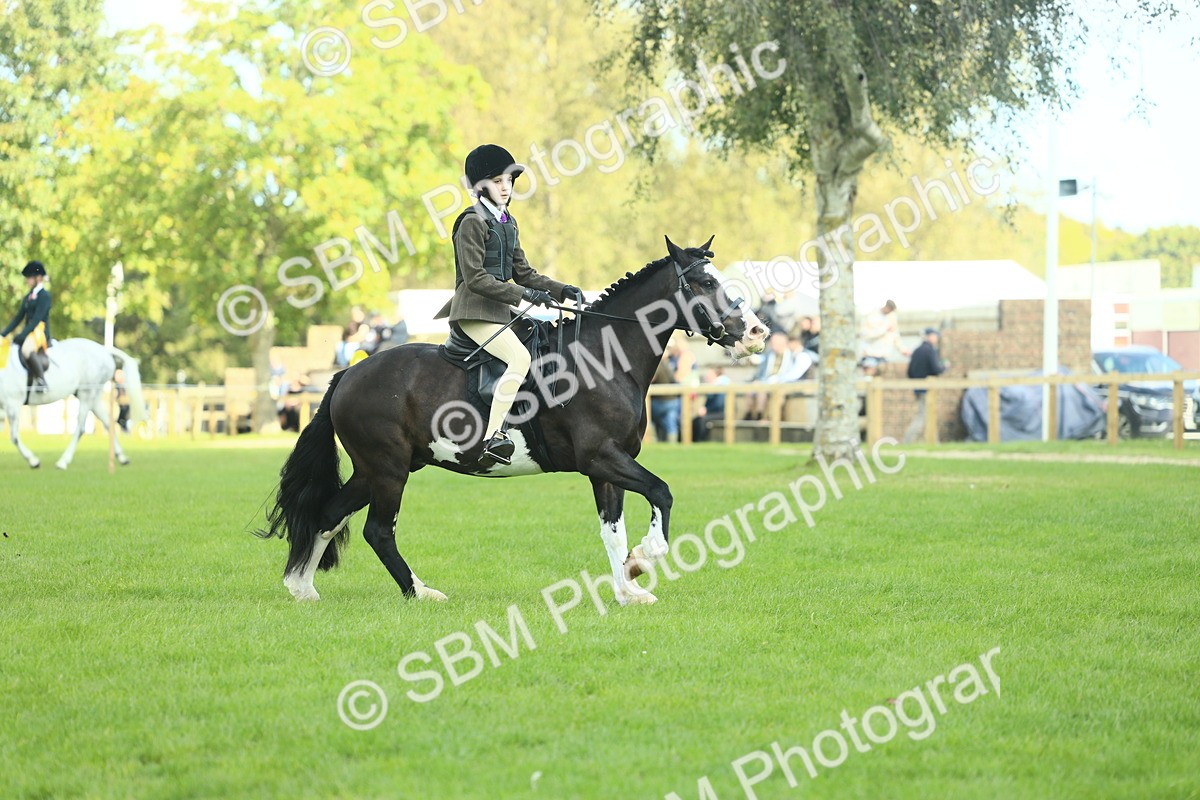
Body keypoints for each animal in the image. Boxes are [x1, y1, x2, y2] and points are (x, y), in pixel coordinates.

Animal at [1, 338, 148, 469]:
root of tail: (104, 350)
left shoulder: (12, 404)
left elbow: (14, 437)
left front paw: (33, 461)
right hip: (93, 397)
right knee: (108, 422)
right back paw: (122, 457)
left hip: (86, 394)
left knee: (81, 428)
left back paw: (63, 462)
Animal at [258, 237, 769, 605]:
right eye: (703, 282)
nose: (757, 333)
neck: (603, 359)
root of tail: (349, 373)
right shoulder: (601, 457)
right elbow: (661, 493)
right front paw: (645, 560)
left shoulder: (608, 467)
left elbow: (612, 532)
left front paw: (628, 590)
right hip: (388, 470)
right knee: (377, 532)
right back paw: (421, 593)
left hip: (378, 469)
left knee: (329, 515)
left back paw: (303, 589)